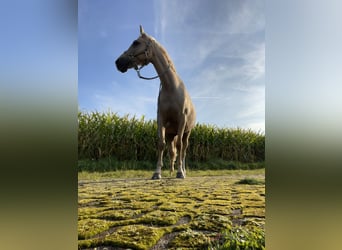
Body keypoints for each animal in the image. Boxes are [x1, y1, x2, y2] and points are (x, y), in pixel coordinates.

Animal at [115, 25, 195, 180]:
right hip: (171, 134)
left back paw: (183, 170)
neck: (171, 87)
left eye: (135, 42)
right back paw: (171, 171)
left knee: (183, 149)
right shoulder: (161, 119)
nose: (118, 62)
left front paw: (180, 172)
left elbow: (180, 148)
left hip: (186, 133)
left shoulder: (182, 120)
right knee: (172, 151)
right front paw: (157, 173)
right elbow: (160, 144)